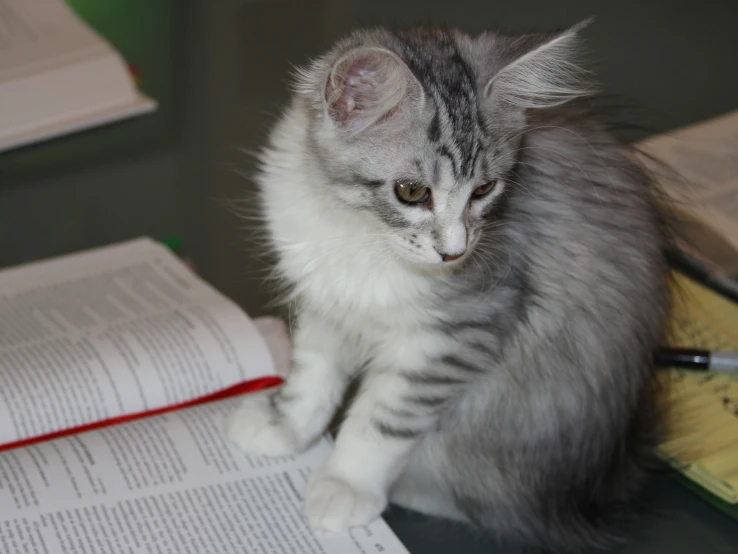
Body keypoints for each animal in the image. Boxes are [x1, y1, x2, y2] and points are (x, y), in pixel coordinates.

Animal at [227, 19, 668, 548]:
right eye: (411, 192)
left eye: (484, 190)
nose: (455, 252)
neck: (358, 233)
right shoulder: (326, 304)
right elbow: (311, 378)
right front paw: (285, 427)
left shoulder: (457, 333)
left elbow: (379, 420)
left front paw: (345, 484)